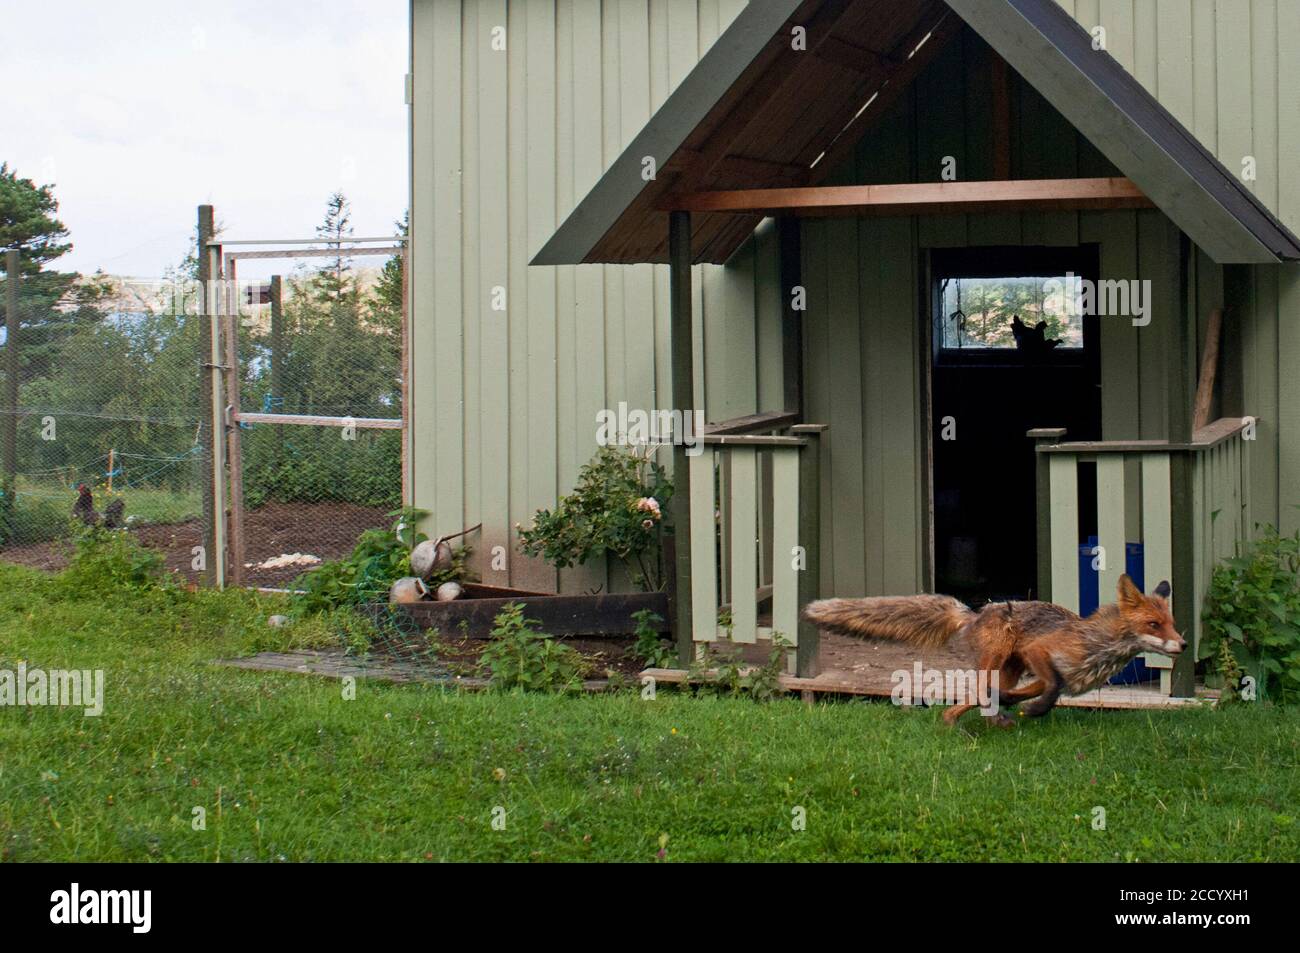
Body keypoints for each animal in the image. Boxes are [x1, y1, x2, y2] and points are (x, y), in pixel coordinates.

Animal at [802, 575, 1185, 727]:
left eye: (1171, 622)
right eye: (1154, 624)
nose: (1182, 644)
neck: (1097, 647)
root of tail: (974, 612)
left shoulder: (1048, 672)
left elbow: (1046, 688)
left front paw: (1021, 705)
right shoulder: (1039, 651)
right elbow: (1051, 688)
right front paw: (1033, 710)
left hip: (1008, 669)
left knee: (971, 698)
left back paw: (972, 720)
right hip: (998, 655)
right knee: (976, 692)